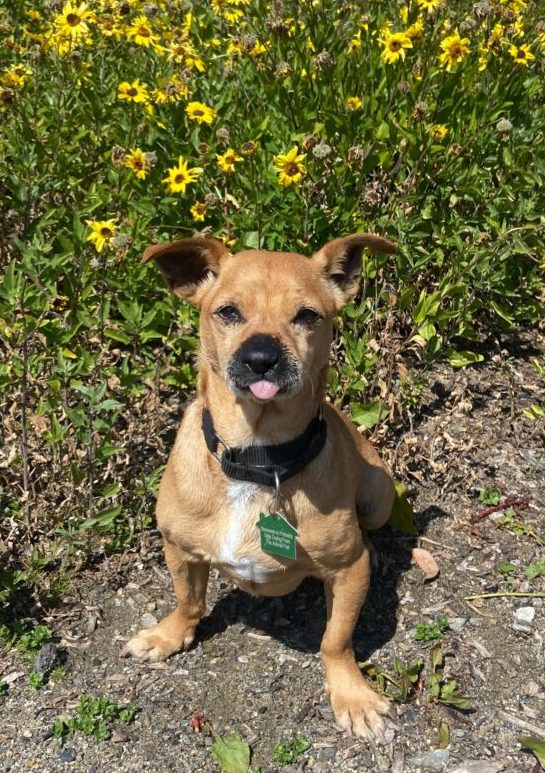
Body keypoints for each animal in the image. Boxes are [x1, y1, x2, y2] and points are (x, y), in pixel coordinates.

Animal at [122, 232, 396, 740]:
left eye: (307, 315)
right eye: (228, 311)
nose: (261, 357)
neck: (256, 458)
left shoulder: (348, 572)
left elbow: (336, 639)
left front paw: (351, 694)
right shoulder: (178, 548)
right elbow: (188, 600)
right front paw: (168, 635)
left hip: (379, 495)